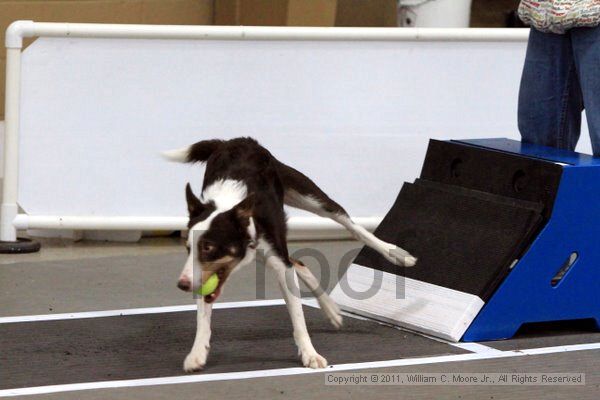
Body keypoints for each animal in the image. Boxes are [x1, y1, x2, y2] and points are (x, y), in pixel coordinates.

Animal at [164, 138, 418, 372]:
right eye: (188, 248)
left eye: (208, 247)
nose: (182, 284)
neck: (230, 206)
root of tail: (233, 140)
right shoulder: (205, 273)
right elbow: (203, 317)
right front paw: (197, 353)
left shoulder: (277, 263)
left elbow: (298, 317)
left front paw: (310, 354)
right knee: (299, 261)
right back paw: (331, 309)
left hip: (308, 196)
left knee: (348, 223)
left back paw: (396, 254)